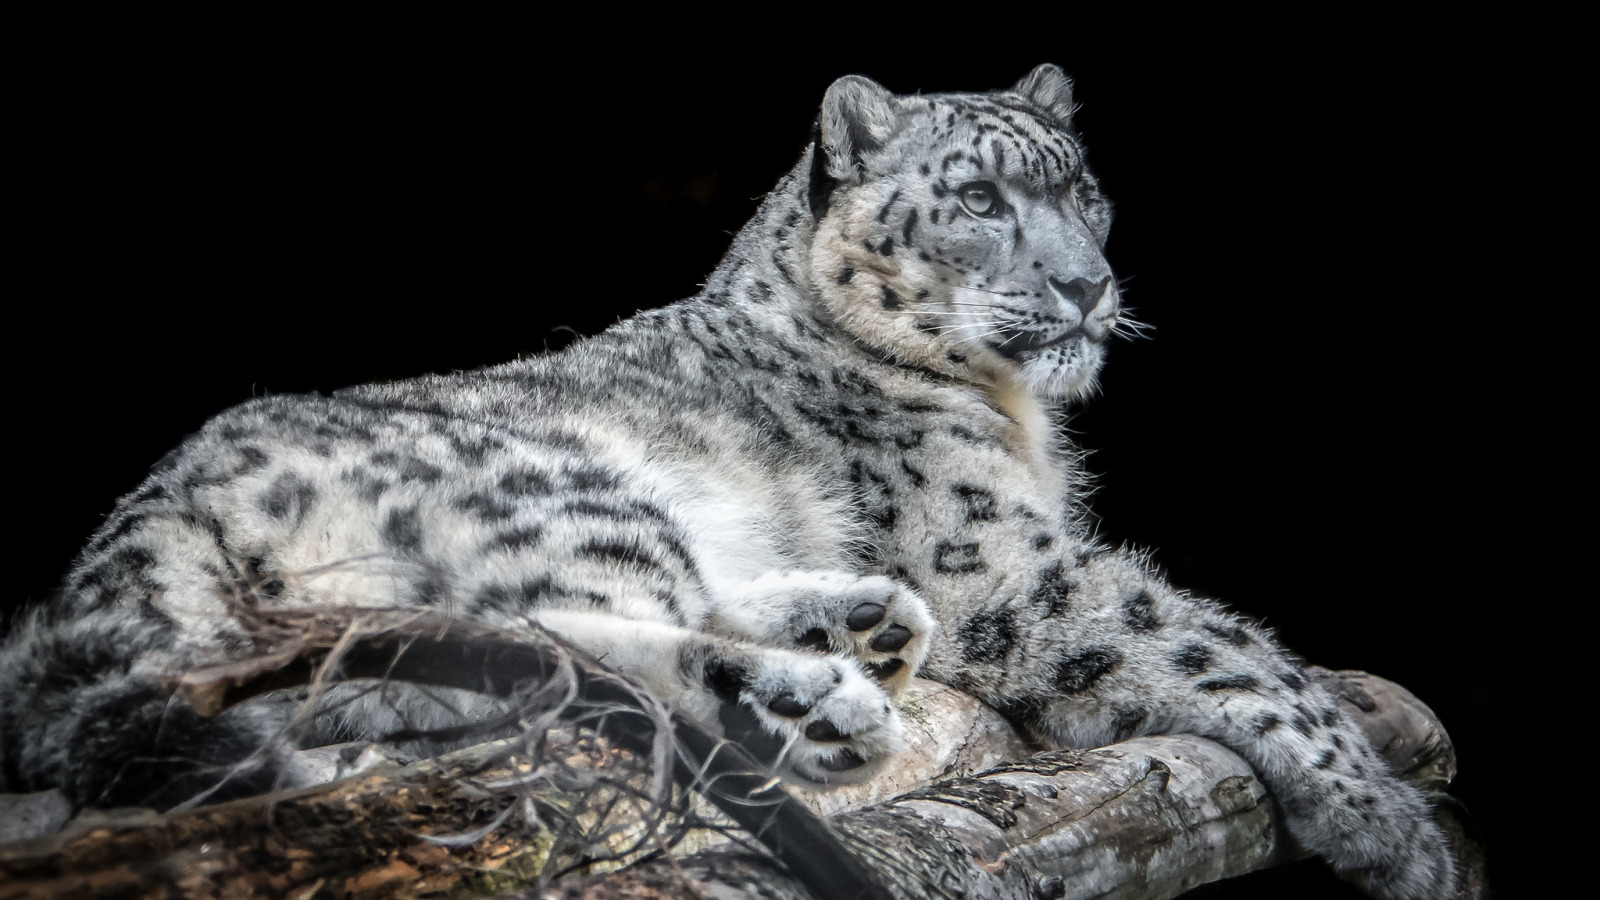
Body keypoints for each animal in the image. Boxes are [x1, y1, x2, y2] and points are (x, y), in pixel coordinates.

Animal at [0, 66, 1452, 890]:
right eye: (979, 200)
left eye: (1082, 188)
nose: (1087, 284)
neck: (1022, 416)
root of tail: (132, 529)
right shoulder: (1006, 569)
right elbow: (1209, 643)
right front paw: (1390, 824)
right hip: (565, 493)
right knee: (547, 648)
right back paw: (812, 700)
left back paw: (854, 623)